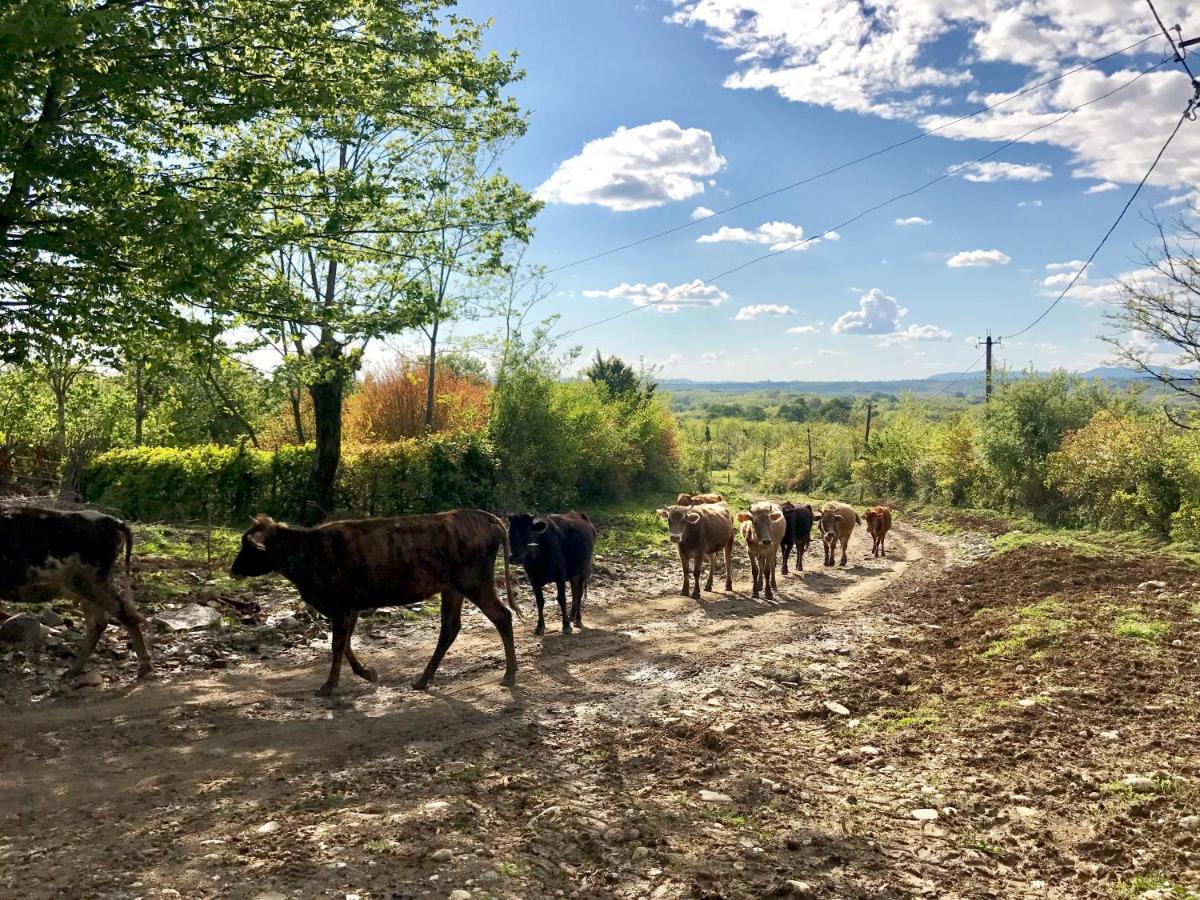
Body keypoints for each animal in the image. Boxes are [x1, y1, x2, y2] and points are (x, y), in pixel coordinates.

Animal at [0, 508, 153, 681]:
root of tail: (111, 521)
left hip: (92, 584)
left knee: (123, 613)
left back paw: (144, 666)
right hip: (88, 588)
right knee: (99, 623)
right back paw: (73, 670)